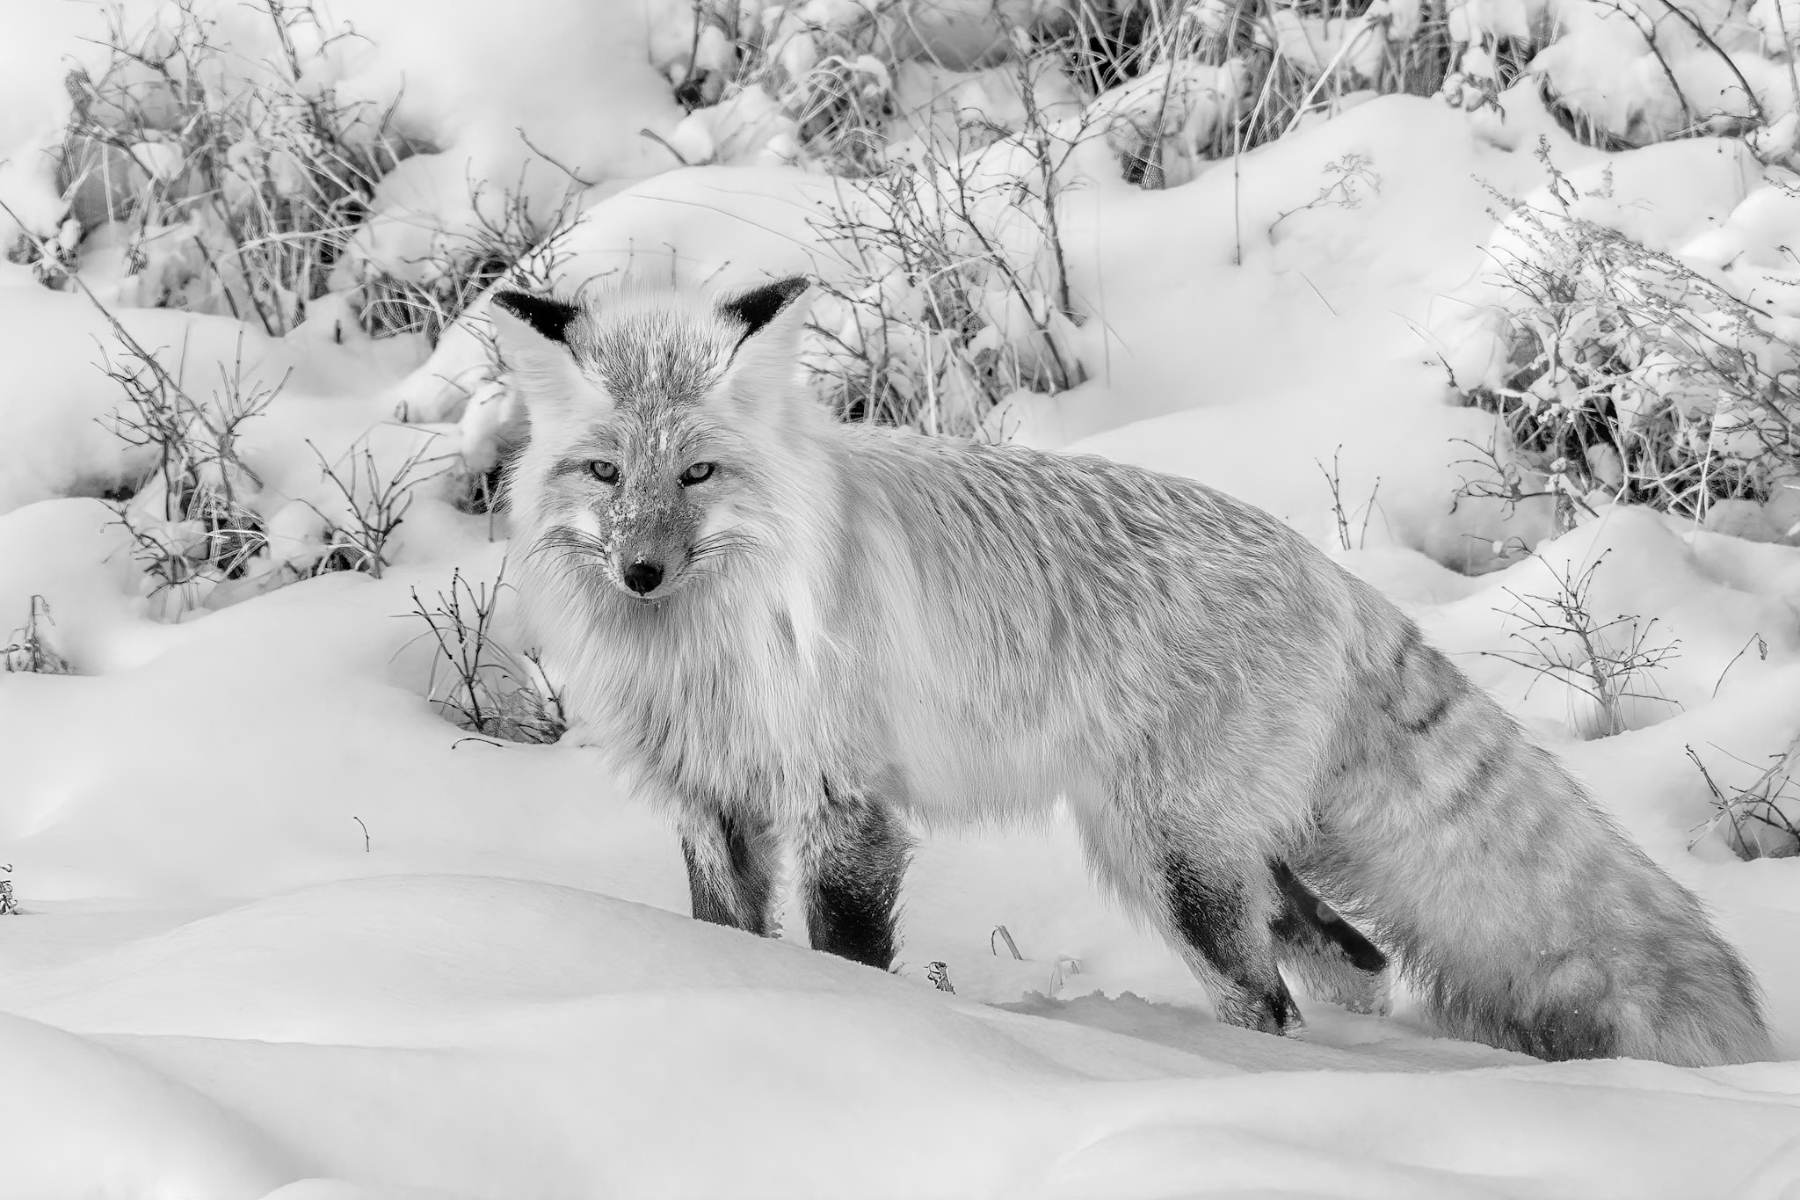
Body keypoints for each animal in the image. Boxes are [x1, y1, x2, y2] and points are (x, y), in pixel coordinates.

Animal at [490, 276, 1772, 1068]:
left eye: (698, 474)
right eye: (606, 474)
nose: (641, 572)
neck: (704, 650)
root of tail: (1326, 567)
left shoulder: (846, 807)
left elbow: (847, 961)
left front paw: (862, 1038)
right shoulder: (713, 801)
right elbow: (727, 939)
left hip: (1169, 858)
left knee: (1269, 999)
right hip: (1215, 851)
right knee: (1353, 962)